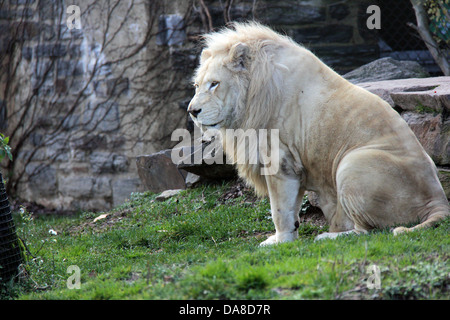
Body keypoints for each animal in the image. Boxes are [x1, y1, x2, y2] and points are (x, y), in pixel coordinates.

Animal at [187, 21, 450, 245]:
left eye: (214, 84)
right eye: (197, 86)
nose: (192, 111)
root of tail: (439, 201)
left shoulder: (279, 160)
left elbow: (278, 209)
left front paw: (280, 242)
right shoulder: (294, 164)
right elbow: (291, 208)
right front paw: (287, 237)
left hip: (351, 163)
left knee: (367, 232)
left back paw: (328, 236)